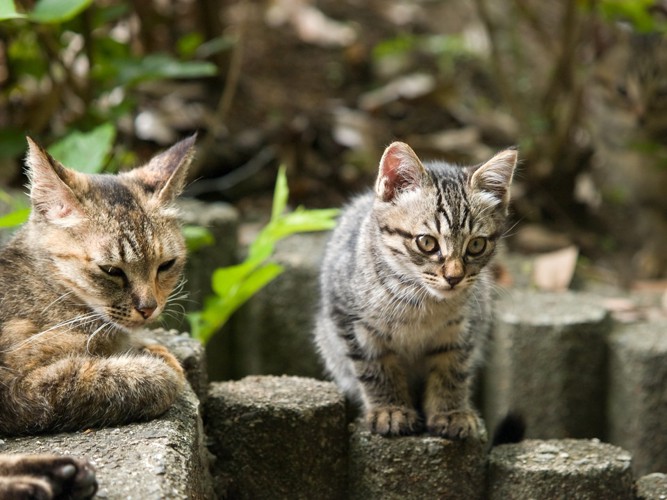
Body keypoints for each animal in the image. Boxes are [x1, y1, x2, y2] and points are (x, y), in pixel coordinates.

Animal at [0, 134, 194, 438]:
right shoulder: (19, 386)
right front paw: (160, 365)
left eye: (166, 265)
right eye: (111, 270)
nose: (148, 308)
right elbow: (131, 379)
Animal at [314, 141, 516, 438]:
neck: (420, 301)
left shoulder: (463, 329)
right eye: (427, 243)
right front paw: (390, 410)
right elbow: (376, 368)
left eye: (476, 245)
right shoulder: (350, 320)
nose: (454, 277)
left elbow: (452, 369)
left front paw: (451, 412)